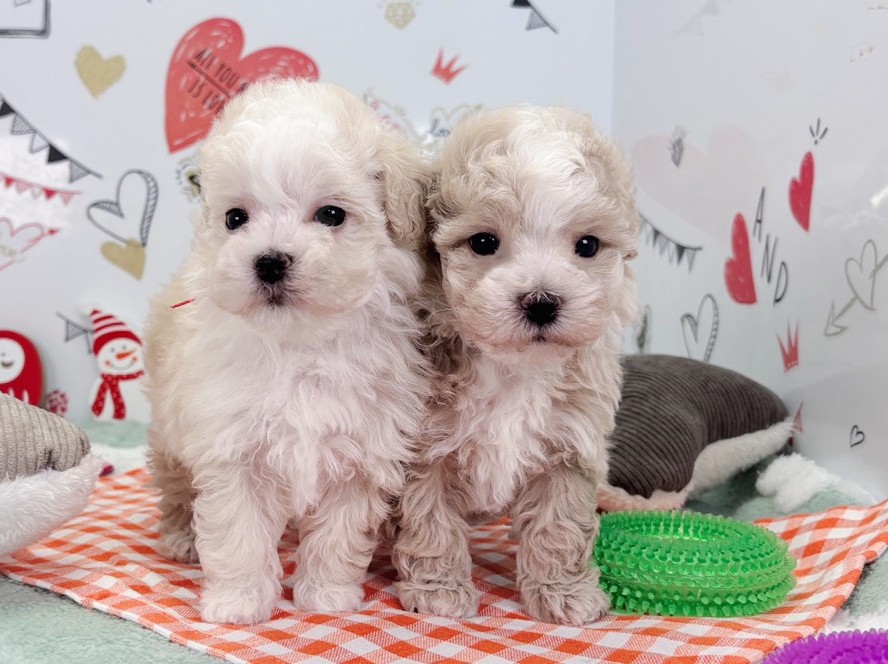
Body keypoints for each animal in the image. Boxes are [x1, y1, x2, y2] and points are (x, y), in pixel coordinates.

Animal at [144, 79, 431, 625]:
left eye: (332, 214)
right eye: (236, 218)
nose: (270, 261)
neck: (301, 345)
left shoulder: (362, 451)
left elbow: (339, 535)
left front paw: (327, 595)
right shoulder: (231, 450)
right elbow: (237, 534)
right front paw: (237, 602)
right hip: (170, 433)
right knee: (175, 487)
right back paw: (180, 538)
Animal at [392, 105, 639, 626]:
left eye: (588, 246)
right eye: (484, 241)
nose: (541, 302)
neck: (514, 368)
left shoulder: (569, 447)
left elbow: (559, 526)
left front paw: (565, 594)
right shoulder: (423, 451)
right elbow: (430, 519)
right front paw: (438, 590)